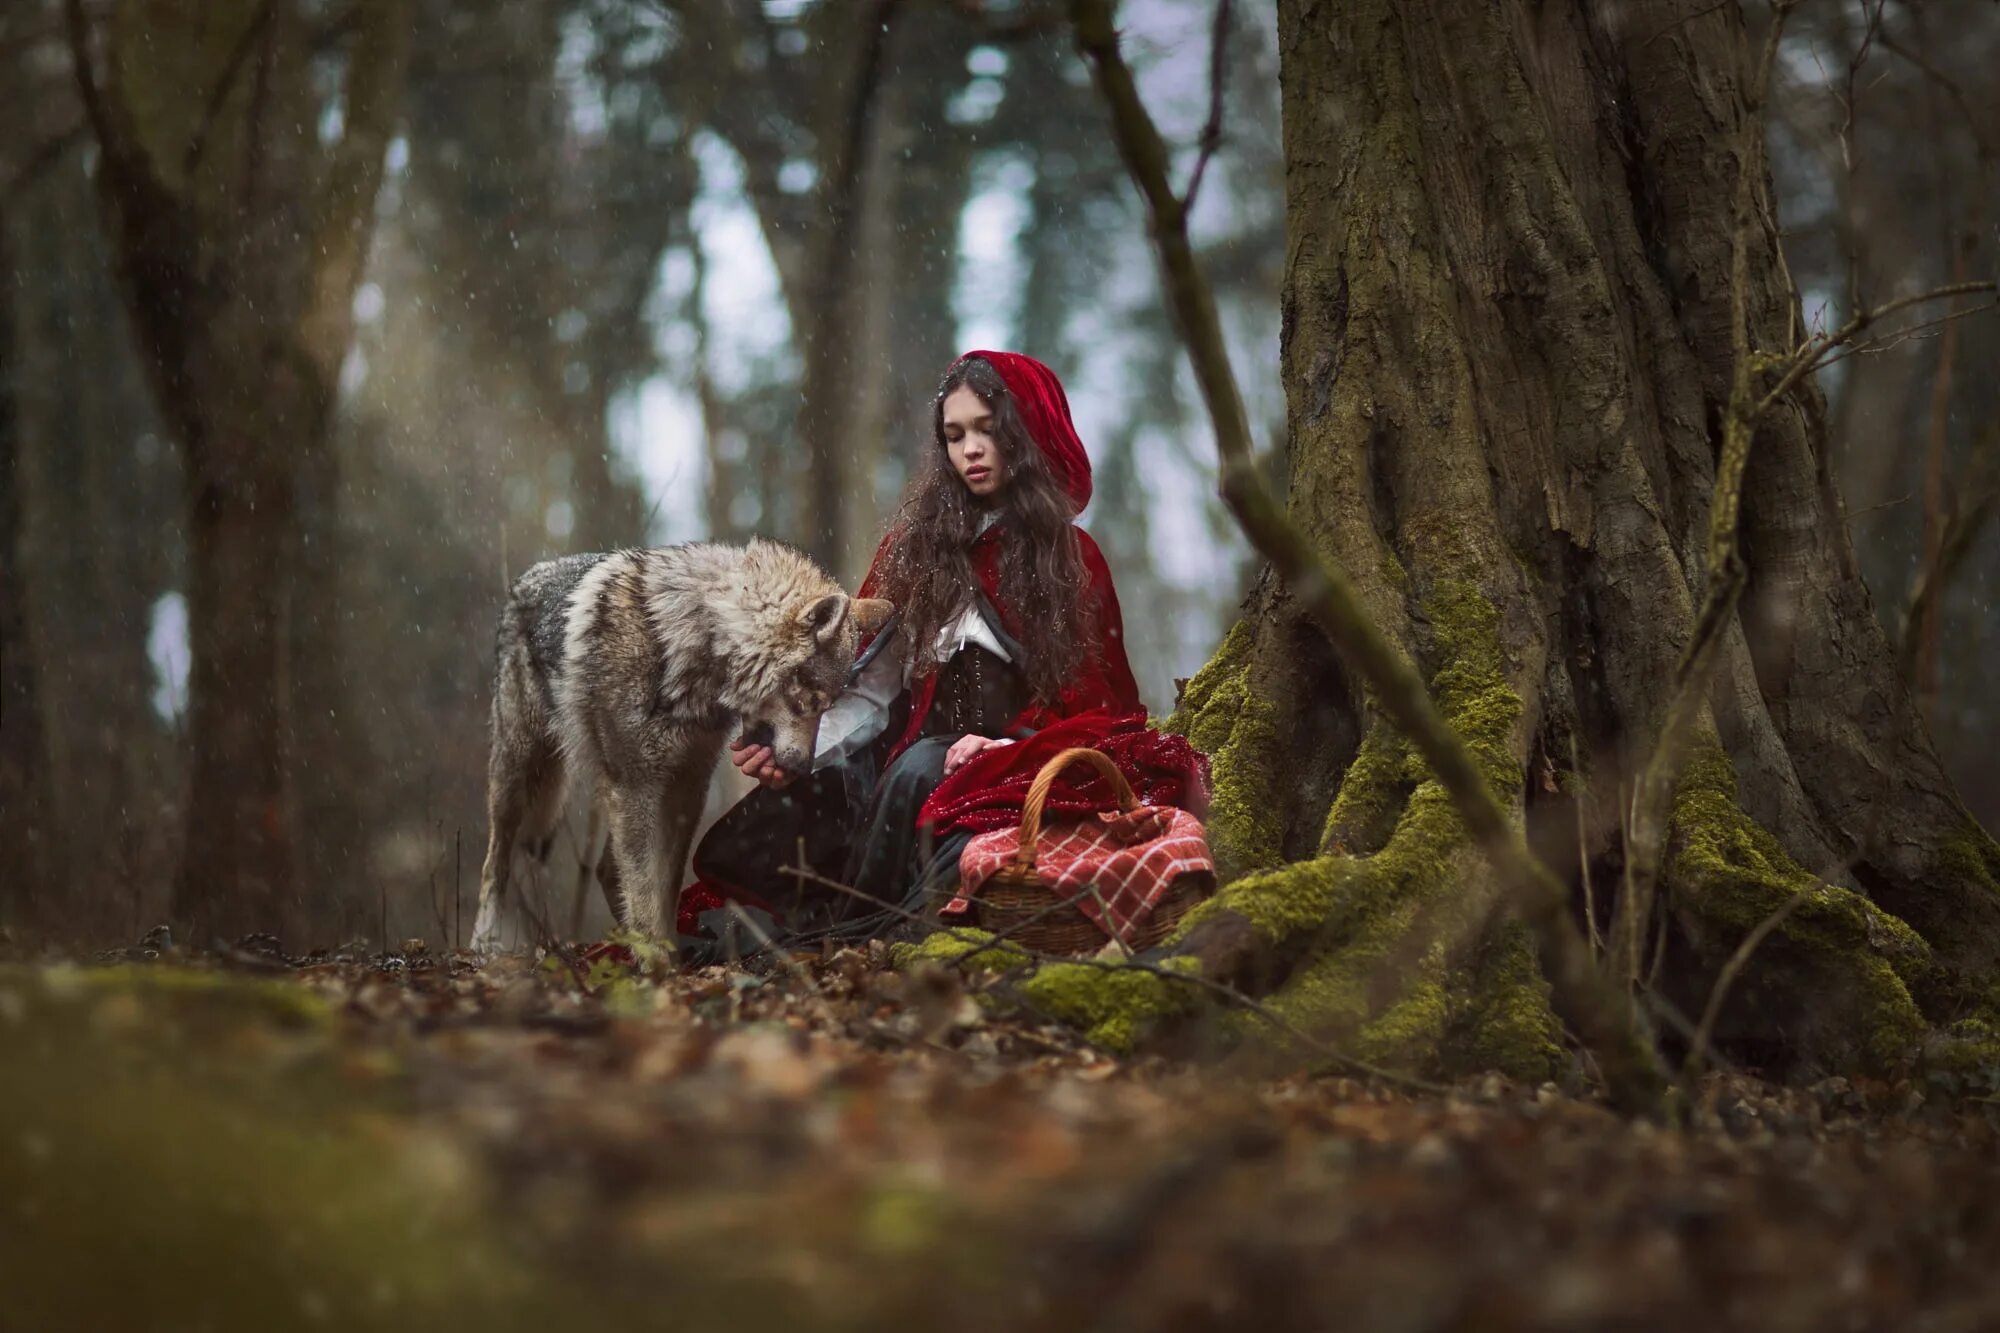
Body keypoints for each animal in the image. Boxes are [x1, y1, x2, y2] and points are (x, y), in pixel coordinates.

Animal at [468, 536, 892, 948]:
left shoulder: (687, 784)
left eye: (830, 705)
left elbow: (664, 889)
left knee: (605, 870)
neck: (689, 649)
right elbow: (645, 894)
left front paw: (667, 953)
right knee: (494, 864)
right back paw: (485, 944)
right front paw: (656, 961)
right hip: (519, 773)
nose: (801, 768)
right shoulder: (636, 784)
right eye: (813, 701)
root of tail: (529, 575)